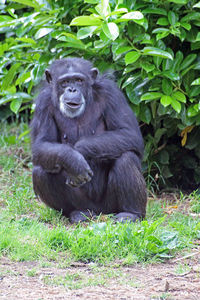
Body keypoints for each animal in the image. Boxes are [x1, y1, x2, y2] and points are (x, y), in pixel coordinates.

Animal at [31, 58, 147, 223]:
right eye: (65, 82)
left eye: (79, 80)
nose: (72, 89)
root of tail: (99, 212)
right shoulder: (42, 104)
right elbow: (41, 144)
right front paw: (73, 160)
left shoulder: (111, 93)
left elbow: (128, 132)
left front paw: (78, 153)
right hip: (84, 203)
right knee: (41, 170)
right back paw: (76, 213)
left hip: (109, 205)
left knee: (126, 158)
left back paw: (131, 213)